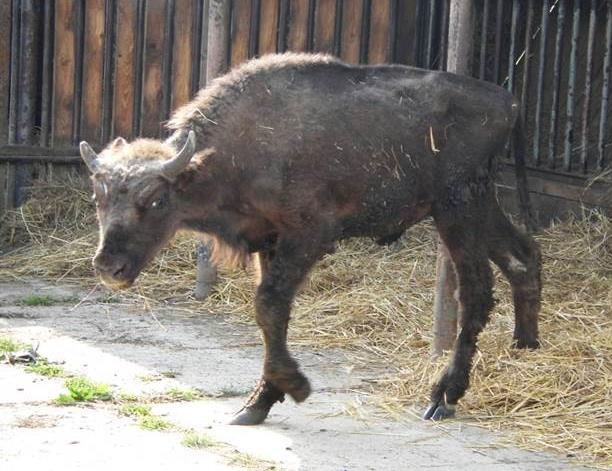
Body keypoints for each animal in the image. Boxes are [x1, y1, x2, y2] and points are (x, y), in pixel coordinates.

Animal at [80, 53, 540, 426]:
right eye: (98, 197)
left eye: (156, 200)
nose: (109, 267)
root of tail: (510, 103)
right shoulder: (269, 242)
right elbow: (273, 316)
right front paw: (257, 404)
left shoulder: (308, 235)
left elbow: (268, 305)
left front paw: (294, 387)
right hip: (479, 208)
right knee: (523, 256)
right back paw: (526, 346)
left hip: (457, 209)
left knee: (477, 290)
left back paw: (444, 397)